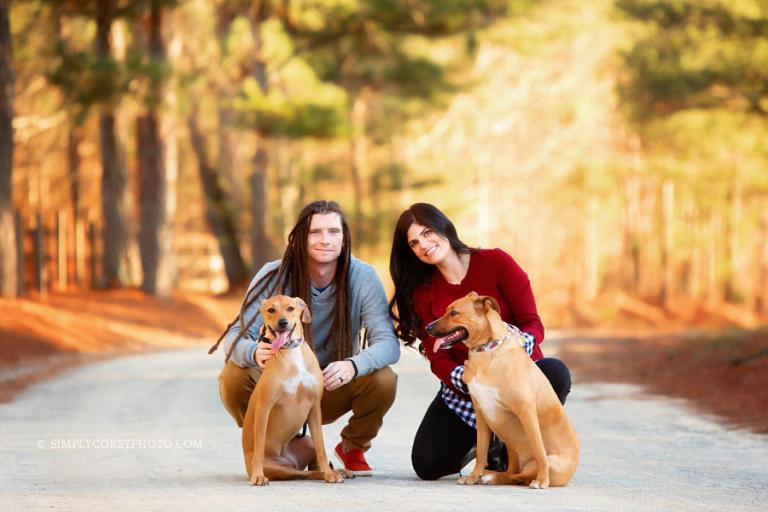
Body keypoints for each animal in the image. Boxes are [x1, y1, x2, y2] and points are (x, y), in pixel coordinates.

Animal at [242, 294, 346, 486]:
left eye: (290, 308)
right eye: (271, 310)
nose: (282, 322)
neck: (291, 353)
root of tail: (290, 461)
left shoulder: (315, 408)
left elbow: (322, 448)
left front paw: (329, 473)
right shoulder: (264, 407)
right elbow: (259, 444)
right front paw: (258, 475)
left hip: (307, 441)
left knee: (310, 468)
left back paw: (339, 471)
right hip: (281, 468)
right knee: (304, 474)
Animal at [426, 292, 576, 488]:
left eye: (454, 313)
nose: (427, 327)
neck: (486, 351)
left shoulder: (526, 411)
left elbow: (539, 449)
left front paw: (543, 480)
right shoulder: (481, 412)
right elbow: (481, 450)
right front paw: (473, 477)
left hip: (546, 461)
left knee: (523, 473)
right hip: (511, 449)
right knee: (513, 474)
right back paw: (489, 475)